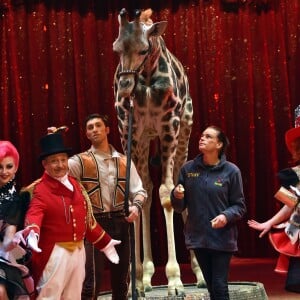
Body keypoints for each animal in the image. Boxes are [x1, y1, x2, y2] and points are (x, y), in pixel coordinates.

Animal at [112, 8, 204, 296]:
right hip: (144, 142)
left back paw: (200, 274)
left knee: (178, 185)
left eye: (143, 50)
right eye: (116, 49)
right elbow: (139, 196)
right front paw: (137, 281)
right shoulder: (130, 131)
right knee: (148, 189)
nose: (125, 87)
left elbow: (168, 193)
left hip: (184, 133)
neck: (147, 76)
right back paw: (146, 277)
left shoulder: (169, 127)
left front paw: (175, 280)